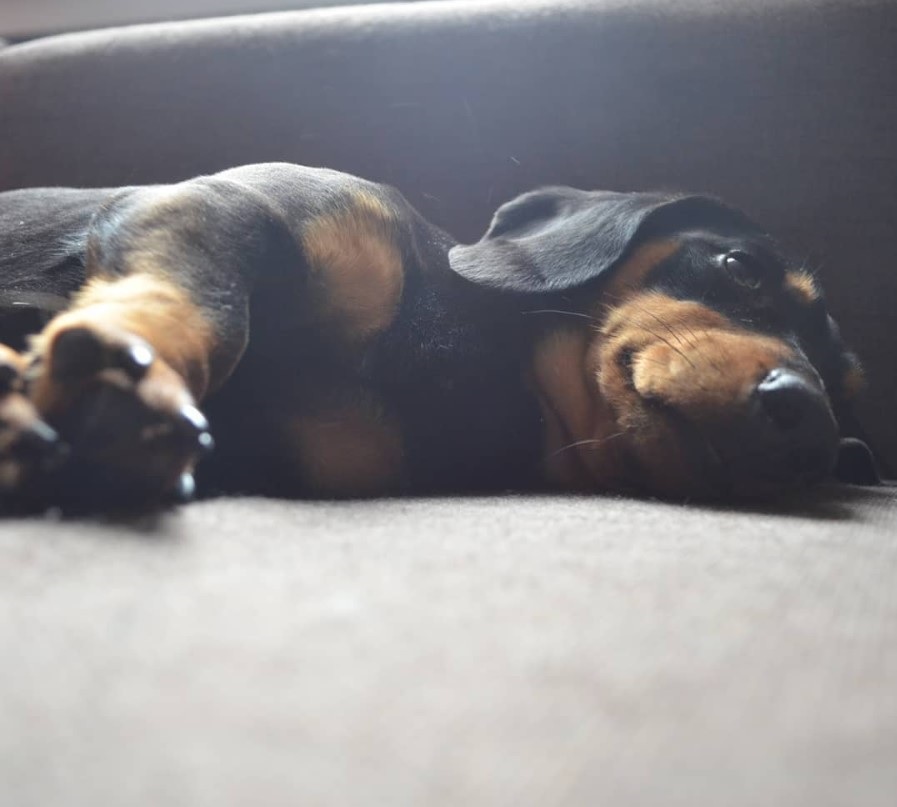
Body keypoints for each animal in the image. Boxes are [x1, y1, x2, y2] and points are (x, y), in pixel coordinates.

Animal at [0, 164, 880, 512]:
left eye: (845, 400)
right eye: (741, 268)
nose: (810, 426)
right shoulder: (217, 209)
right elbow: (207, 307)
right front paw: (123, 377)